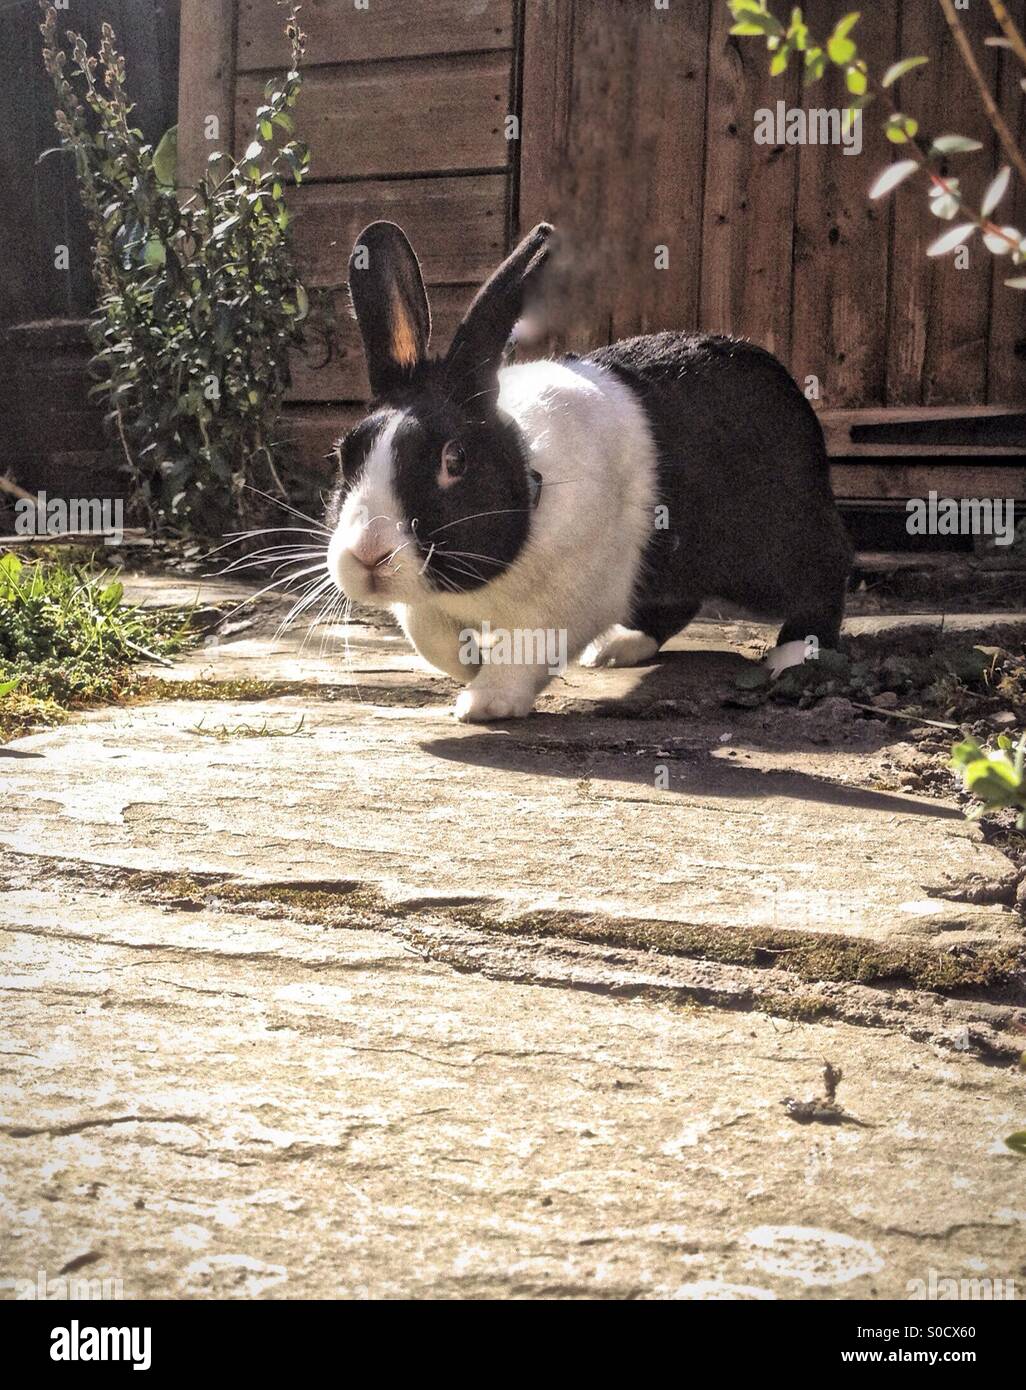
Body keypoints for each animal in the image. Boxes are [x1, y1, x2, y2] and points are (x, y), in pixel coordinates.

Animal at [325, 220, 852, 722]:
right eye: (344, 455)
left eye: (453, 460)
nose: (368, 555)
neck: (532, 480)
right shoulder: (425, 604)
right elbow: (428, 637)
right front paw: (470, 662)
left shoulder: (562, 604)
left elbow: (525, 651)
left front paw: (484, 702)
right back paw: (619, 647)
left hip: (774, 544)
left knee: (827, 571)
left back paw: (792, 652)